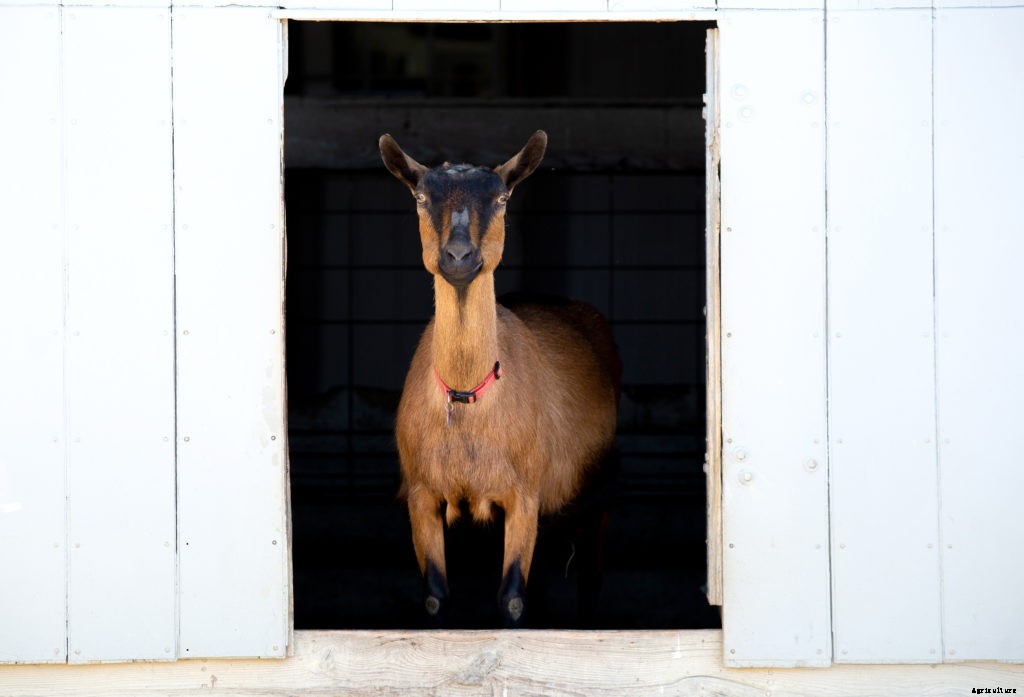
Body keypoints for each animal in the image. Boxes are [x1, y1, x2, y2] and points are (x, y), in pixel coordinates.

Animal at [379, 131, 620, 627]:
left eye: (502, 198)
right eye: (420, 197)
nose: (458, 257)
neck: (466, 397)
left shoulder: (524, 495)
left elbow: (510, 598)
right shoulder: (421, 495)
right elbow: (435, 596)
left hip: (598, 489)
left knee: (591, 573)